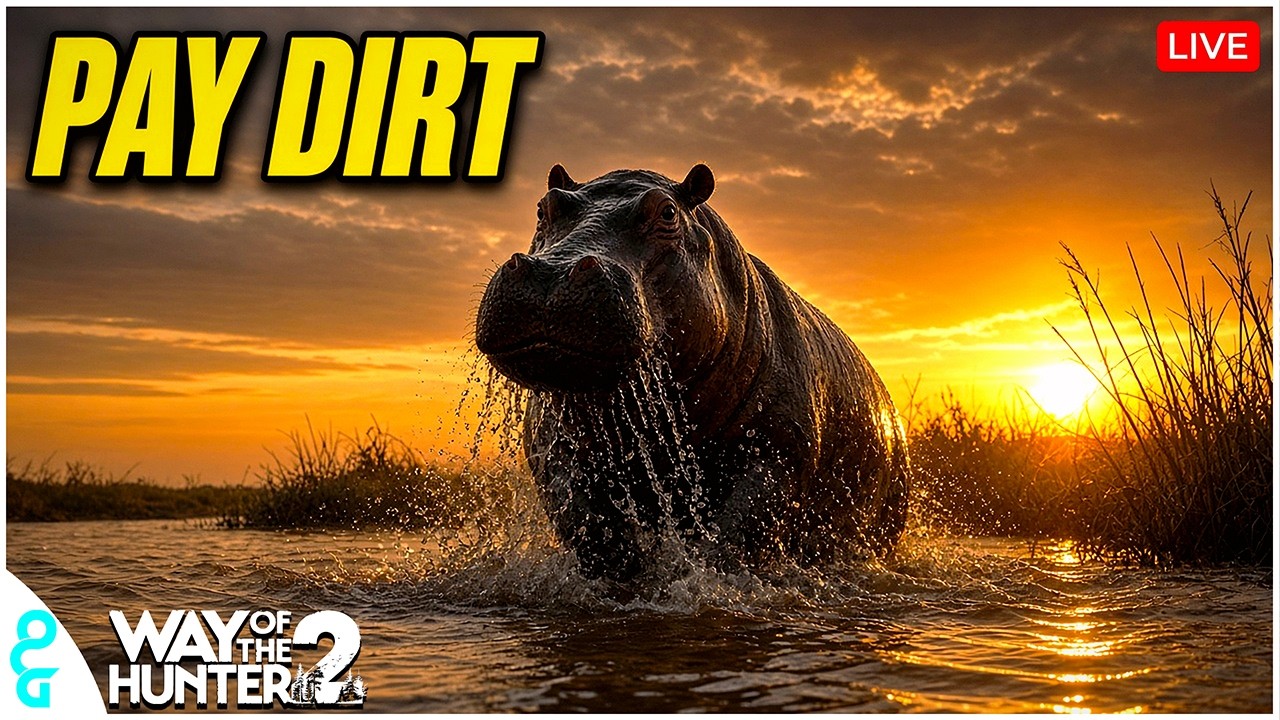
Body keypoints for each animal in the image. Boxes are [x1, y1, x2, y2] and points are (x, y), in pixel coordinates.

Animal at [475, 164, 908, 583]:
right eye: (543, 206)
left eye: (668, 212)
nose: (551, 274)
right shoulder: (555, 449)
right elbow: (592, 528)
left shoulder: (779, 452)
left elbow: (739, 531)